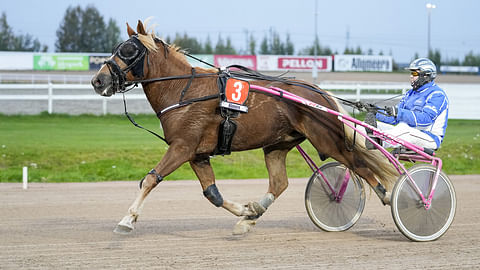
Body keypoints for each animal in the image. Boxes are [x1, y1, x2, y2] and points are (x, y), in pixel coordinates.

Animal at [90, 19, 398, 234]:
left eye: (128, 50)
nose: (97, 80)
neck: (183, 91)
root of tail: (316, 91)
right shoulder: (197, 154)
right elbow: (212, 194)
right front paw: (246, 212)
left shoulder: (182, 147)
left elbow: (150, 179)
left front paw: (126, 220)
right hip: (277, 145)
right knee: (280, 182)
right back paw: (254, 213)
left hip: (328, 140)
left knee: (361, 165)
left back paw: (390, 196)